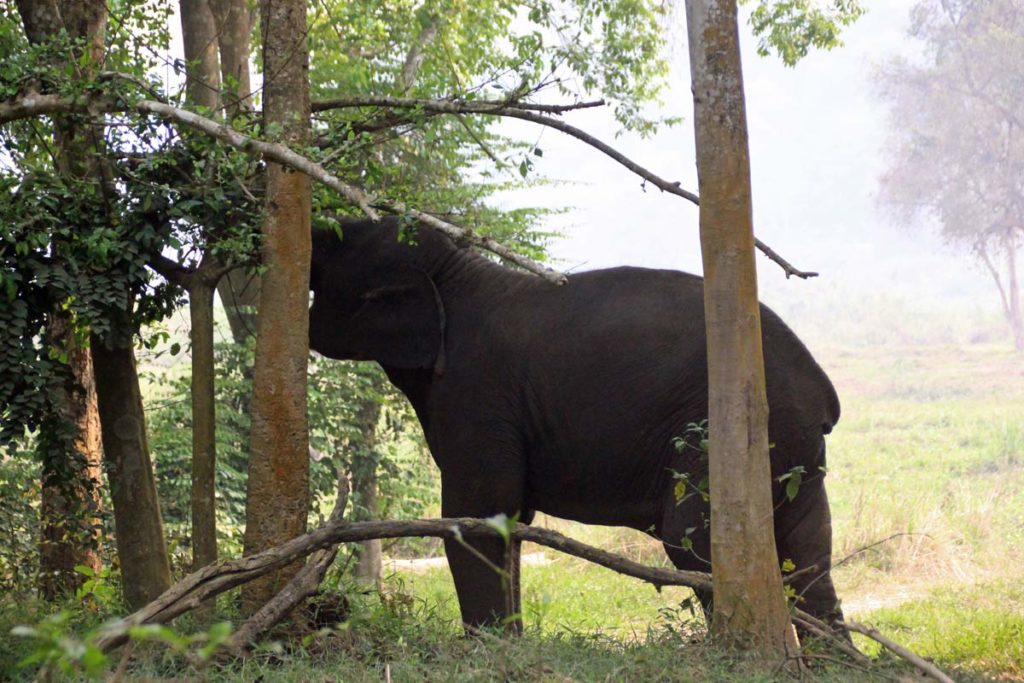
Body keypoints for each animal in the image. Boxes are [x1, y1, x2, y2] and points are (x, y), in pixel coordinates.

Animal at [309, 217, 845, 634]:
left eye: (338, 242)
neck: (457, 272)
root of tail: (820, 389)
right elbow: (509, 521)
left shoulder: (477, 393)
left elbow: (476, 520)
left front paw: (490, 651)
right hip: (794, 452)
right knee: (808, 551)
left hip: (726, 434)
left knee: (694, 542)